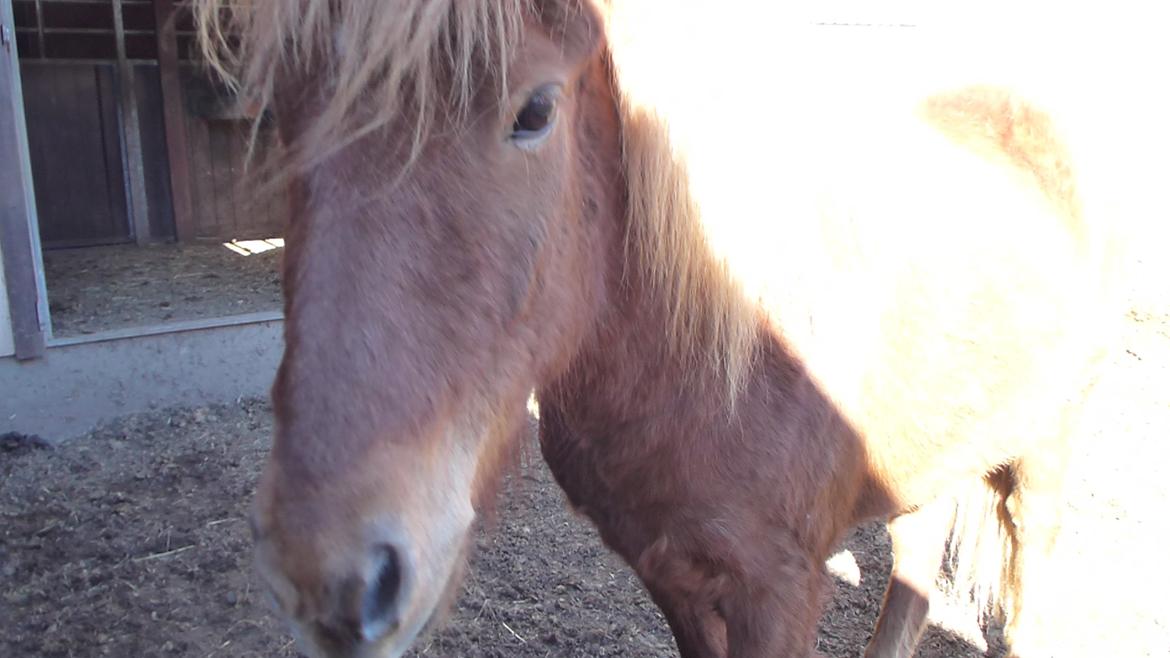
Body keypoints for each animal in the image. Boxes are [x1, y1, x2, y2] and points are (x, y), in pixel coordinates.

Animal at [196, 2, 1118, 650]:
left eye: (535, 109)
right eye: (284, 110)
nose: (327, 577)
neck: (717, 360)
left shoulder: (778, 588)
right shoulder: (667, 571)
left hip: (1042, 465)